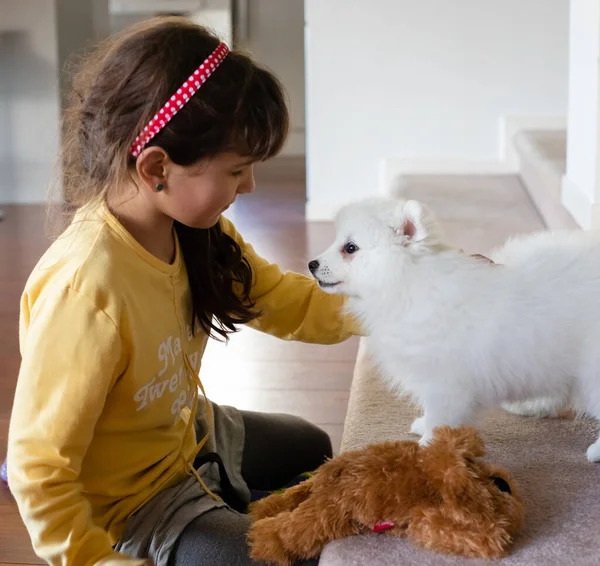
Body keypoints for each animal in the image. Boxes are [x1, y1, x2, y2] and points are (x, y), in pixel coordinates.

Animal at [312, 197, 600, 464]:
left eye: (350, 248)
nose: (311, 264)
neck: (410, 283)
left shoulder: (445, 382)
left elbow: (440, 418)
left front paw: (427, 449)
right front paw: (425, 429)